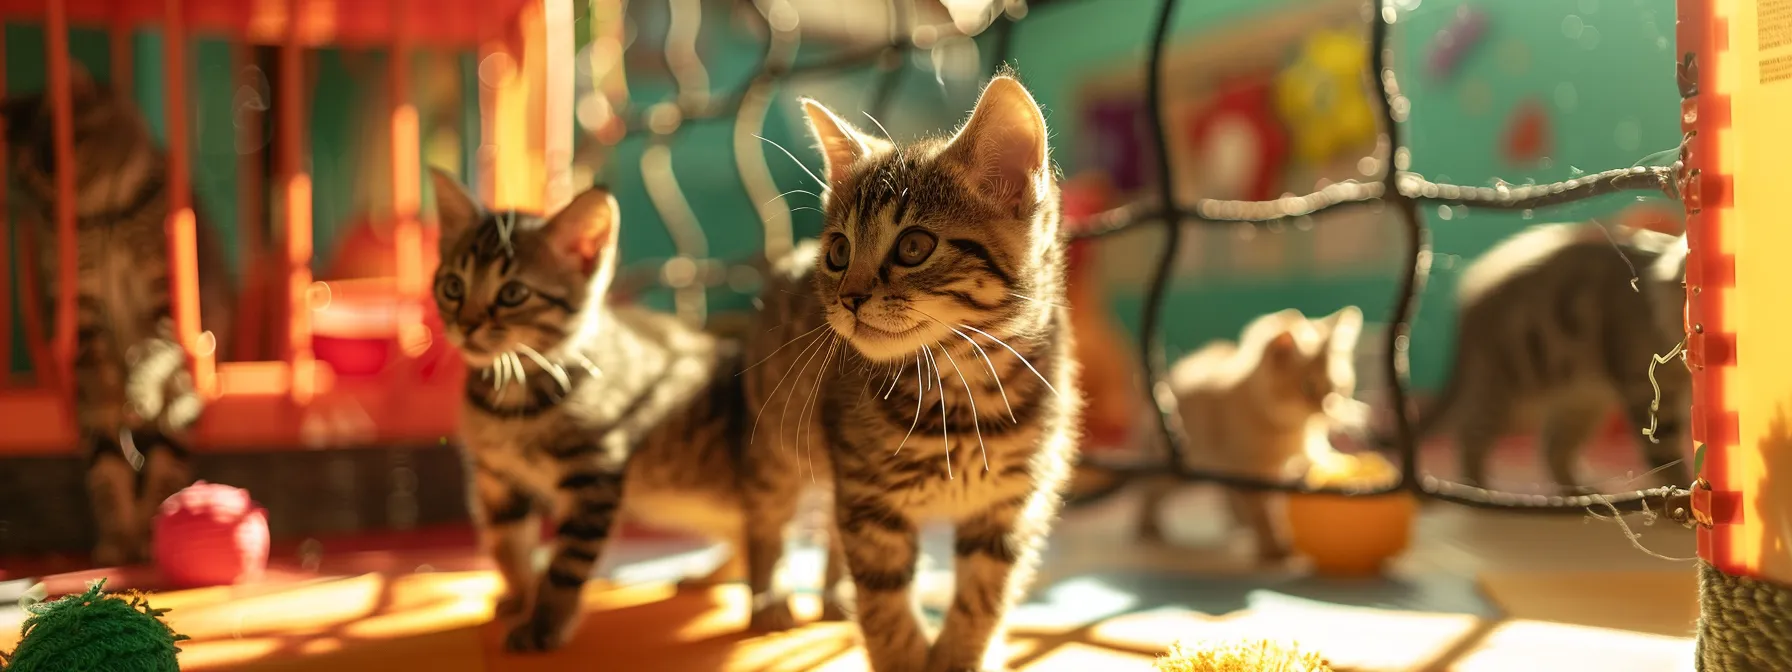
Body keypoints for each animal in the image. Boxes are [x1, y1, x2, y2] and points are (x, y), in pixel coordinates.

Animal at [430, 172, 752, 652]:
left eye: (513, 294)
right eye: (453, 286)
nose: (465, 325)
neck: (515, 392)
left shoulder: (595, 476)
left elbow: (566, 564)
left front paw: (543, 623)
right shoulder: (496, 477)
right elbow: (507, 545)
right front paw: (519, 596)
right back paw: (709, 577)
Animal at [741, 74, 1075, 672]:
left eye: (914, 246)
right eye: (839, 251)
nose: (848, 298)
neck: (961, 387)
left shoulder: (1010, 508)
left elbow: (983, 598)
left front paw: (959, 656)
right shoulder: (869, 501)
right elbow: (885, 600)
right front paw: (903, 652)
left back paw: (834, 598)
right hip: (777, 442)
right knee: (764, 521)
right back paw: (770, 600)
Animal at [1383, 224, 1691, 491]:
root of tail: (1469, 299)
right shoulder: (1646, 390)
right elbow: (1666, 454)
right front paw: (1682, 492)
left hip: (1580, 399)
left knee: (1552, 447)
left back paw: (1580, 492)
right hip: (1515, 394)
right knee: (1469, 433)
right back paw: (1481, 490)